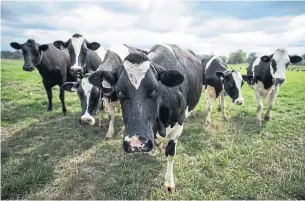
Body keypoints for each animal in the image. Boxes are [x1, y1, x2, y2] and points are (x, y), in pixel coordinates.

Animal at [88, 43, 202, 193]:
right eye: (119, 91)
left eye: (155, 90)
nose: (135, 142)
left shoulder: (179, 125)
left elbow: (170, 153)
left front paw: (169, 182)